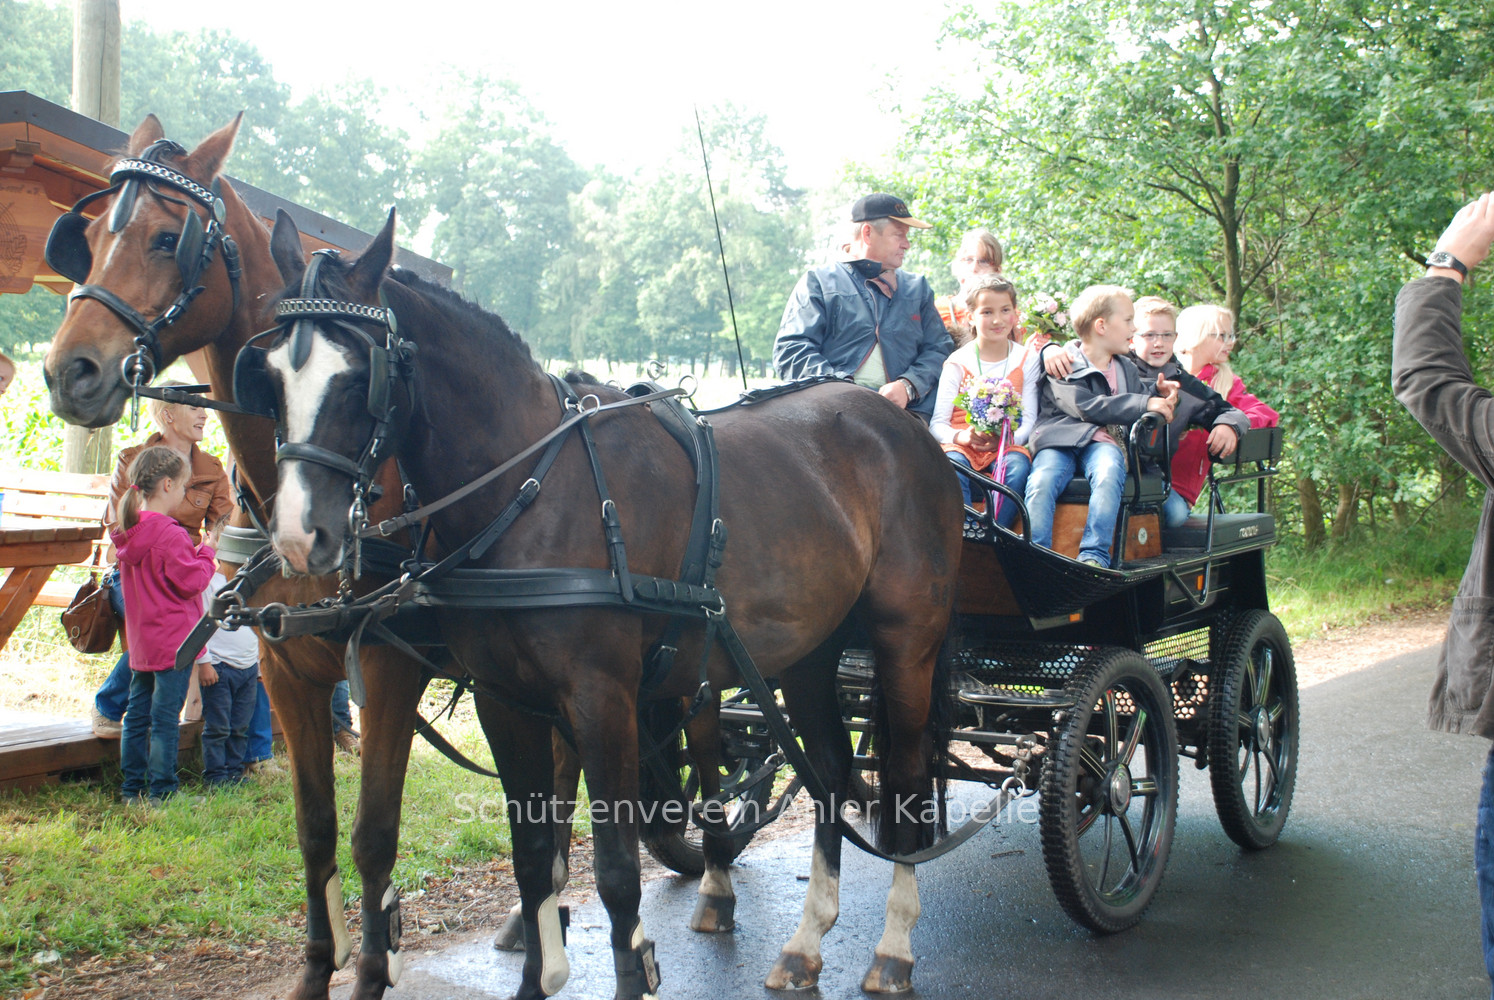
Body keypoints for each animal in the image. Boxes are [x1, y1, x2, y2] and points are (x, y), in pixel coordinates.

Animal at [39, 115, 580, 1000]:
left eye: (166, 238)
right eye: (84, 240)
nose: (68, 371)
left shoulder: (388, 670)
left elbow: (373, 833)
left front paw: (372, 967)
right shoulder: (285, 668)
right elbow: (316, 829)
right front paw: (318, 969)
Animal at [256, 207, 964, 997]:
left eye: (360, 379)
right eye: (271, 376)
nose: (299, 537)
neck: (534, 489)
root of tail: (900, 427)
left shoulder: (603, 698)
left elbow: (619, 870)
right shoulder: (506, 701)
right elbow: (534, 856)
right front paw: (535, 976)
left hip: (907, 643)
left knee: (904, 780)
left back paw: (893, 947)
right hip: (811, 652)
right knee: (832, 774)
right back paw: (808, 940)